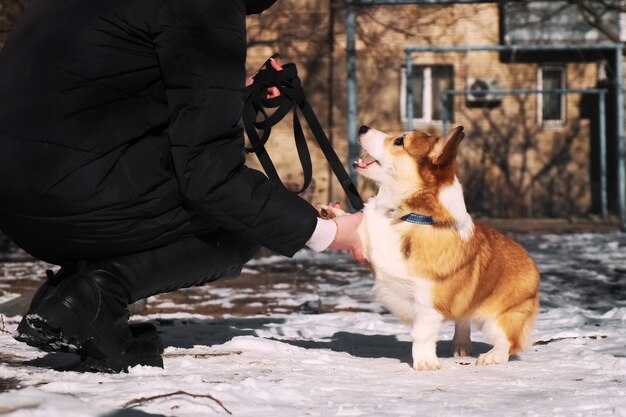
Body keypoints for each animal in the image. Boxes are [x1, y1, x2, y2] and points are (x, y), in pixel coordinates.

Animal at [346, 125, 536, 368]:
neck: (412, 216)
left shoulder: (428, 302)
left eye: (400, 141)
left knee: (508, 342)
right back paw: (462, 346)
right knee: (463, 321)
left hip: (499, 318)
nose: (362, 128)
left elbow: (422, 334)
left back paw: (492, 356)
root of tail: (532, 264)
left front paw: (426, 363)